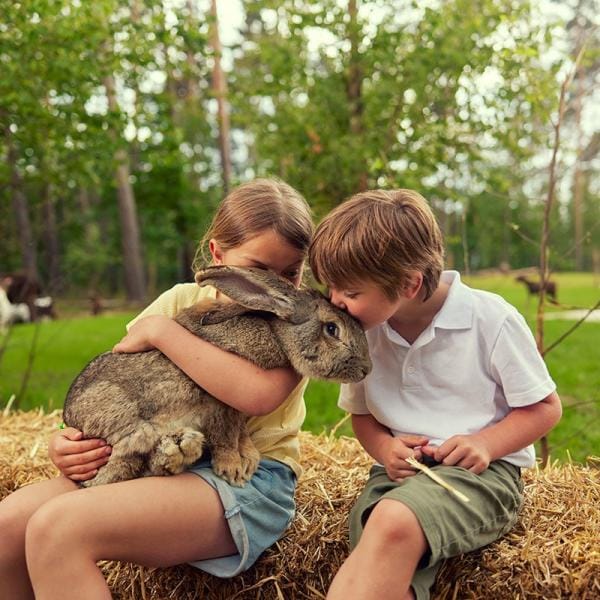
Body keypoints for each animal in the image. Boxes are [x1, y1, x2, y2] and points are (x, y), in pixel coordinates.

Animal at [61, 268, 370, 488]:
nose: (366, 369)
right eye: (332, 329)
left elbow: (240, 433)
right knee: (110, 474)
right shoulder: (221, 402)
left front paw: (248, 459)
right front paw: (232, 469)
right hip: (130, 422)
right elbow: (226, 435)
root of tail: (72, 417)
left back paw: (178, 449)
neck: (276, 333)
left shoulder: (237, 407)